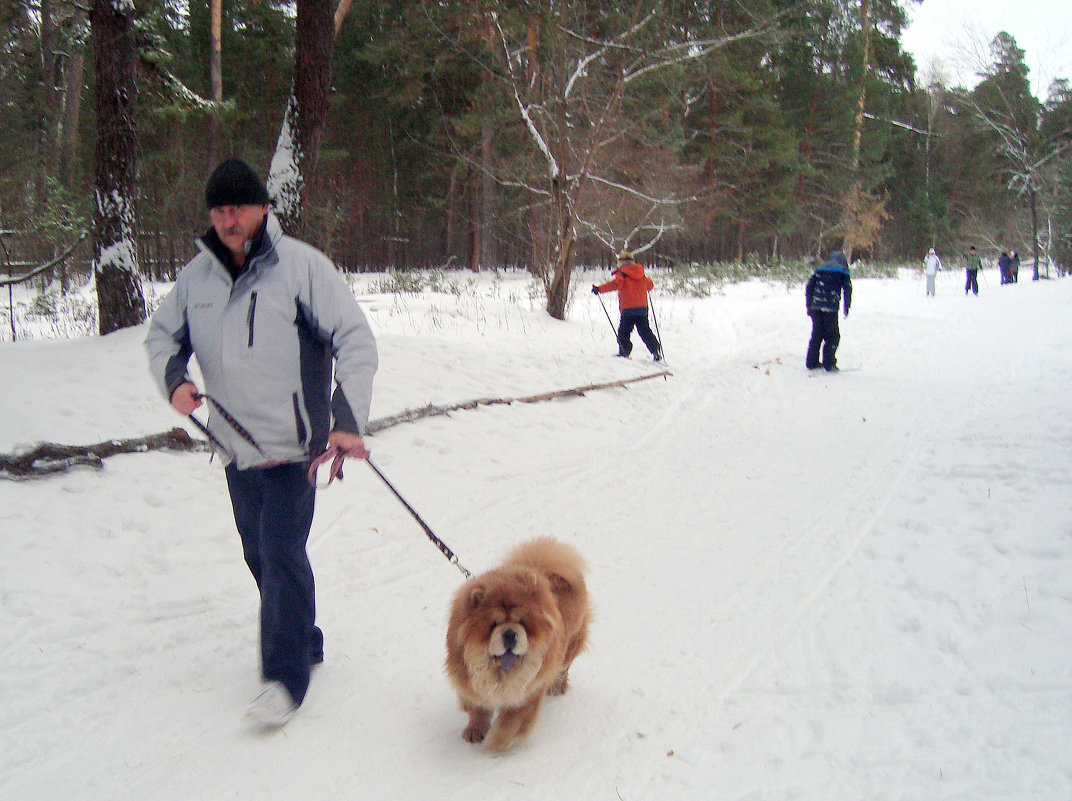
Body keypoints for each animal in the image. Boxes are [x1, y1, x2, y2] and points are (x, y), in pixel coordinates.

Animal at [445, 538, 591, 750]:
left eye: (522, 623)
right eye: (493, 624)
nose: (510, 633)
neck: (501, 673)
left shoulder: (528, 691)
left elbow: (511, 723)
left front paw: (495, 745)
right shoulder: (471, 681)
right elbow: (478, 708)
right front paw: (475, 731)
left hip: (570, 644)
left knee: (563, 668)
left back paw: (557, 687)